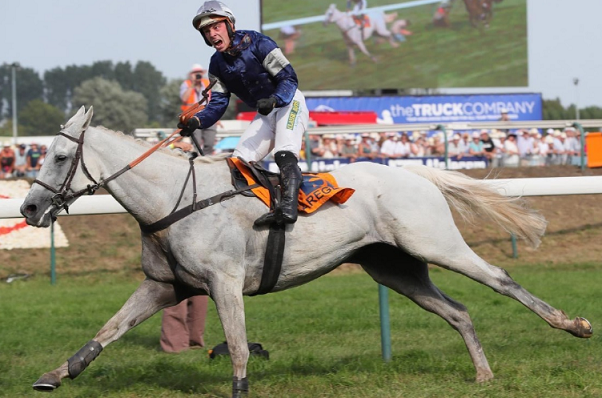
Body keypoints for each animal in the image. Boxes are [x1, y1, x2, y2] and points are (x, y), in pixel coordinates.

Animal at [19, 105, 592, 398]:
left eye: (61, 156)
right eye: (42, 152)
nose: (27, 207)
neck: (173, 201)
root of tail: (416, 172)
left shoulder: (225, 282)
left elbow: (239, 345)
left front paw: (240, 389)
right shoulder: (165, 286)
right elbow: (107, 330)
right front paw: (55, 375)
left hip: (435, 243)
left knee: (500, 279)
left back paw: (573, 325)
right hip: (393, 268)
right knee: (458, 311)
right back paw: (483, 375)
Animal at [260, 0, 528, 91]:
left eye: (329, 13)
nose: (325, 22)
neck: (346, 25)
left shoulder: (359, 40)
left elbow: (364, 50)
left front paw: (375, 60)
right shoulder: (350, 45)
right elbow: (352, 55)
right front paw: (354, 66)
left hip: (380, 28)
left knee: (387, 34)